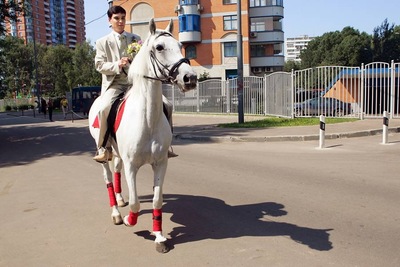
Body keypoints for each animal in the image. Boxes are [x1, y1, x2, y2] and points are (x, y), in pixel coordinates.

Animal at [89, 18, 198, 253]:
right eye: (159, 47)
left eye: (180, 46)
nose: (190, 78)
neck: (147, 119)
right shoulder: (132, 166)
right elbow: (136, 202)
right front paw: (129, 219)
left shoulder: (161, 163)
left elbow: (157, 200)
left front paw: (159, 237)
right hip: (103, 151)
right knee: (108, 178)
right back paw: (116, 213)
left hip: (118, 153)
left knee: (116, 172)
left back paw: (120, 200)